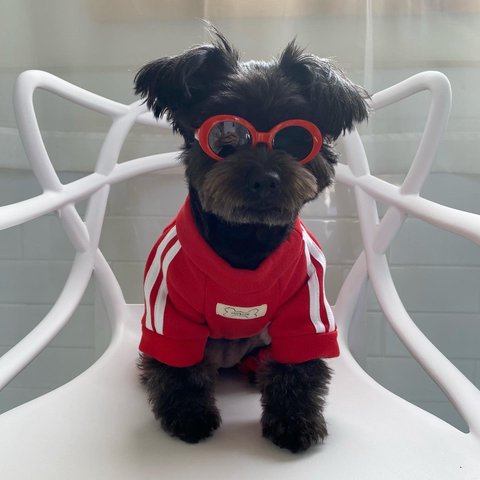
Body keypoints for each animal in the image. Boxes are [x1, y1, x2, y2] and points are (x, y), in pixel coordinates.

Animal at [134, 27, 368, 453]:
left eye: (296, 138)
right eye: (225, 135)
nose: (264, 179)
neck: (245, 238)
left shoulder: (306, 308)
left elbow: (298, 368)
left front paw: (294, 422)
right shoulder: (169, 312)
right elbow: (180, 370)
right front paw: (188, 417)